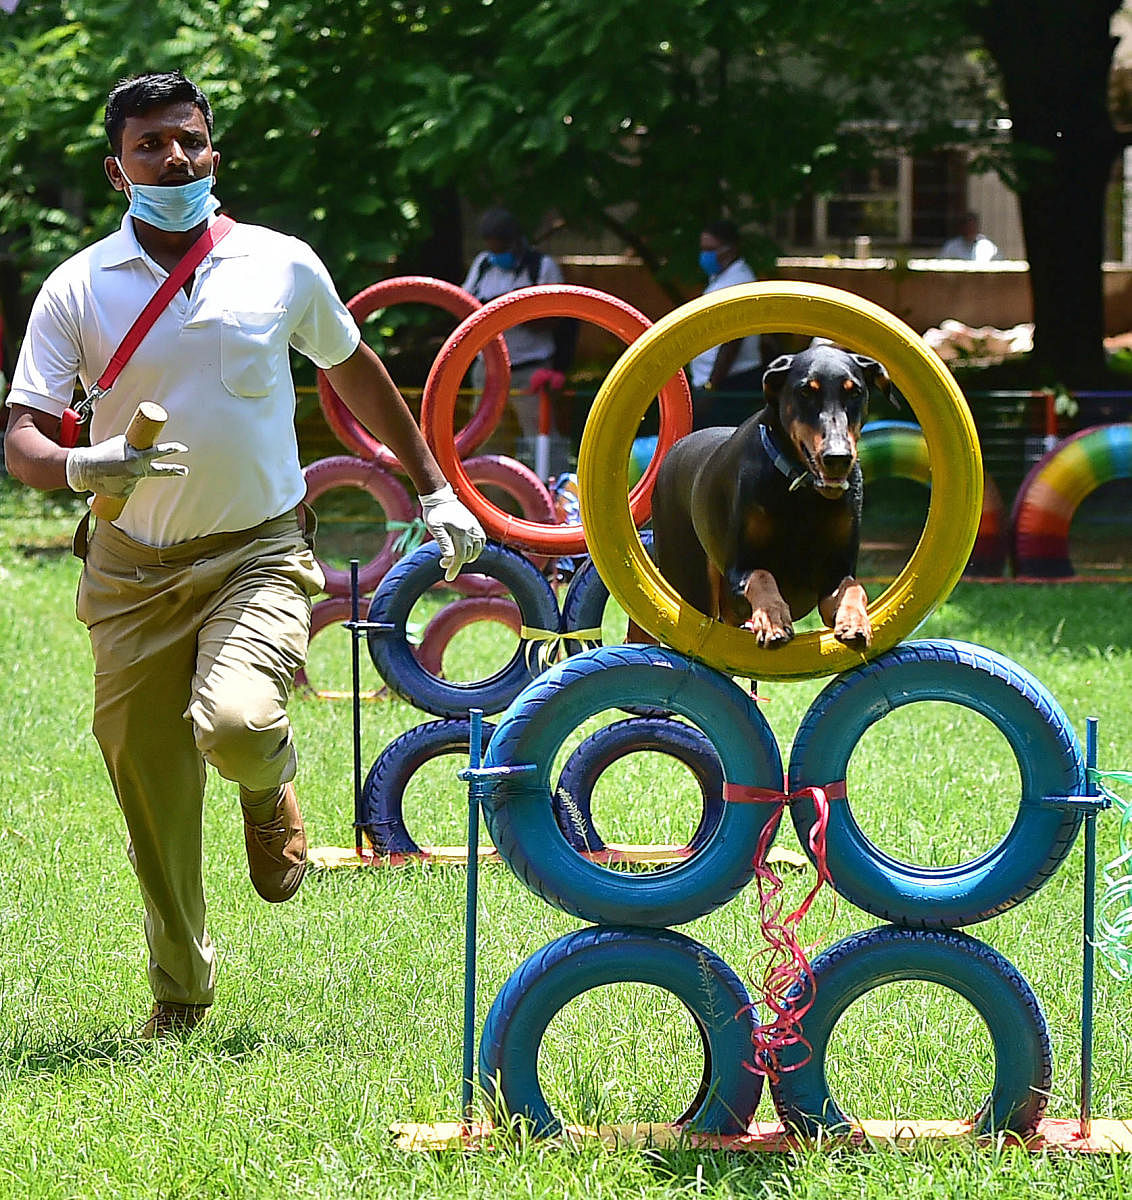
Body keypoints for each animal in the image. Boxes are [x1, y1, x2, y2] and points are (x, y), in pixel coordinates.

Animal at [653, 340, 888, 648]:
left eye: (855, 392)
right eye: (805, 391)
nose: (837, 457)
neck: (803, 494)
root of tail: (677, 448)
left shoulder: (836, 571)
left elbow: (853, 586)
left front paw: (854, 622)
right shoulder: (741, 567)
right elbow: (762, 576)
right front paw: (773, 621)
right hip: (691, 580)